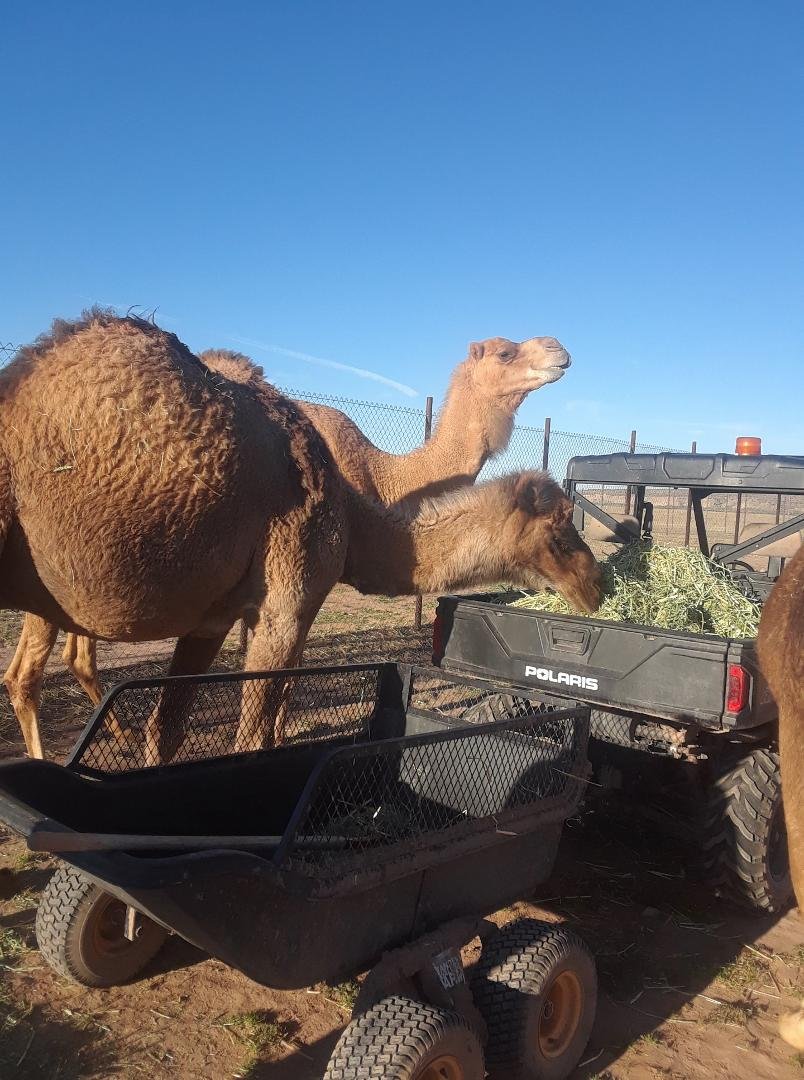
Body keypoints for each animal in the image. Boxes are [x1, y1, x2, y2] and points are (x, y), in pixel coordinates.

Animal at [0, 311, 600, 762]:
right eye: (504, 353)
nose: (559, 348)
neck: (375, 486)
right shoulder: (290, 595)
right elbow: (268, 703)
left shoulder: (234, 609)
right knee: (26, 674)